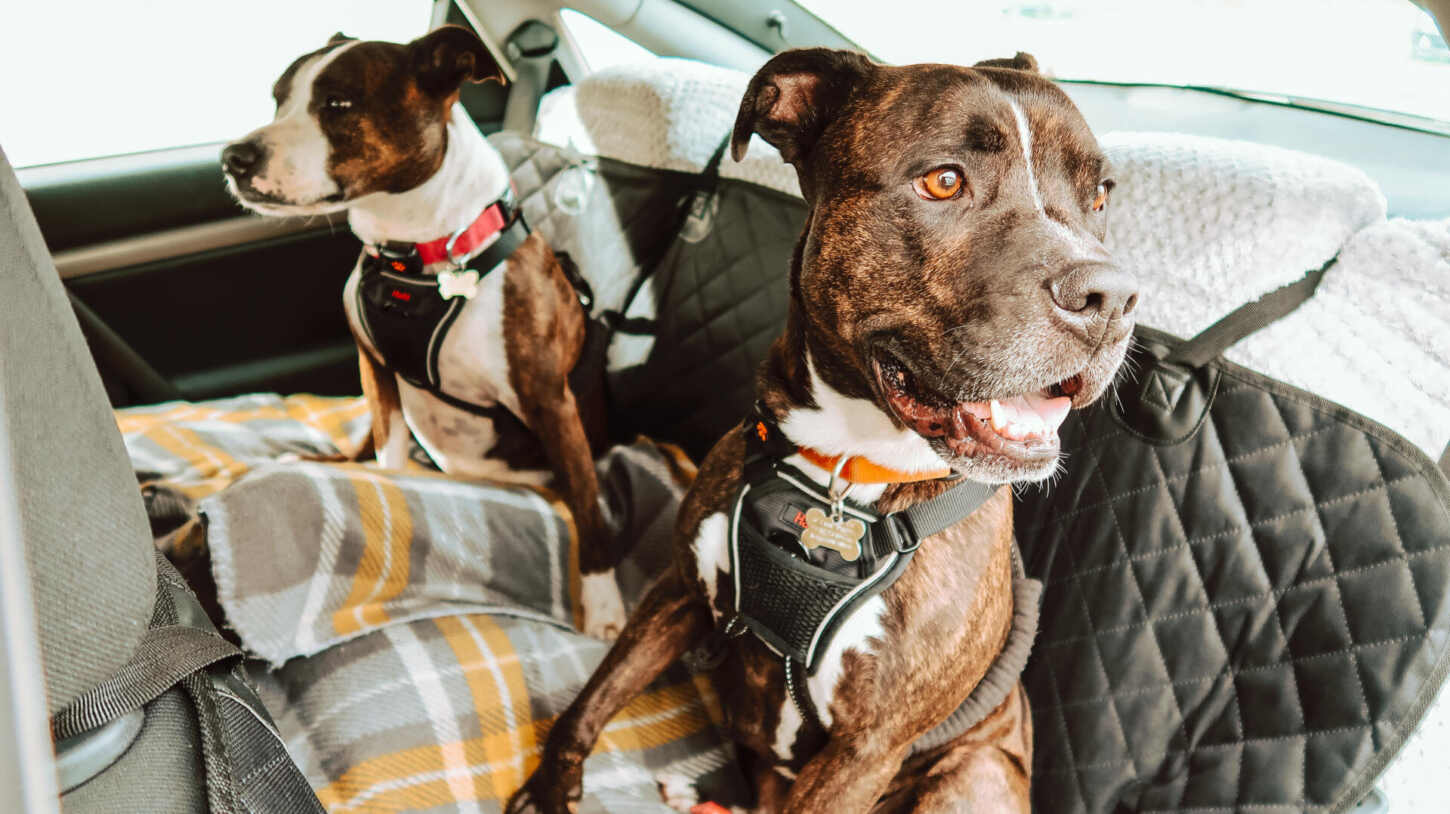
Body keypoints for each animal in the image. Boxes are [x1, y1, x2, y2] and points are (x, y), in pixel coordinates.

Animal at [220, 25, 623, 638]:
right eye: (278, 100)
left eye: (338, 104)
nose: (233, 157)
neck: (417, 254)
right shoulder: (374, 368)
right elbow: (387, 455)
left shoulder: (549, 400)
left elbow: (586, 500)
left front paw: (604, 604)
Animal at [507, 47, 1131, 806]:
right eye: (944, 180)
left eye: (1099, 196)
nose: (1110, 298)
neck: (846, 472)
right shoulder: (677, 593)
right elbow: (593, 699)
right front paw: (549, 787)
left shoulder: (865, 749)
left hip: (974, 771)